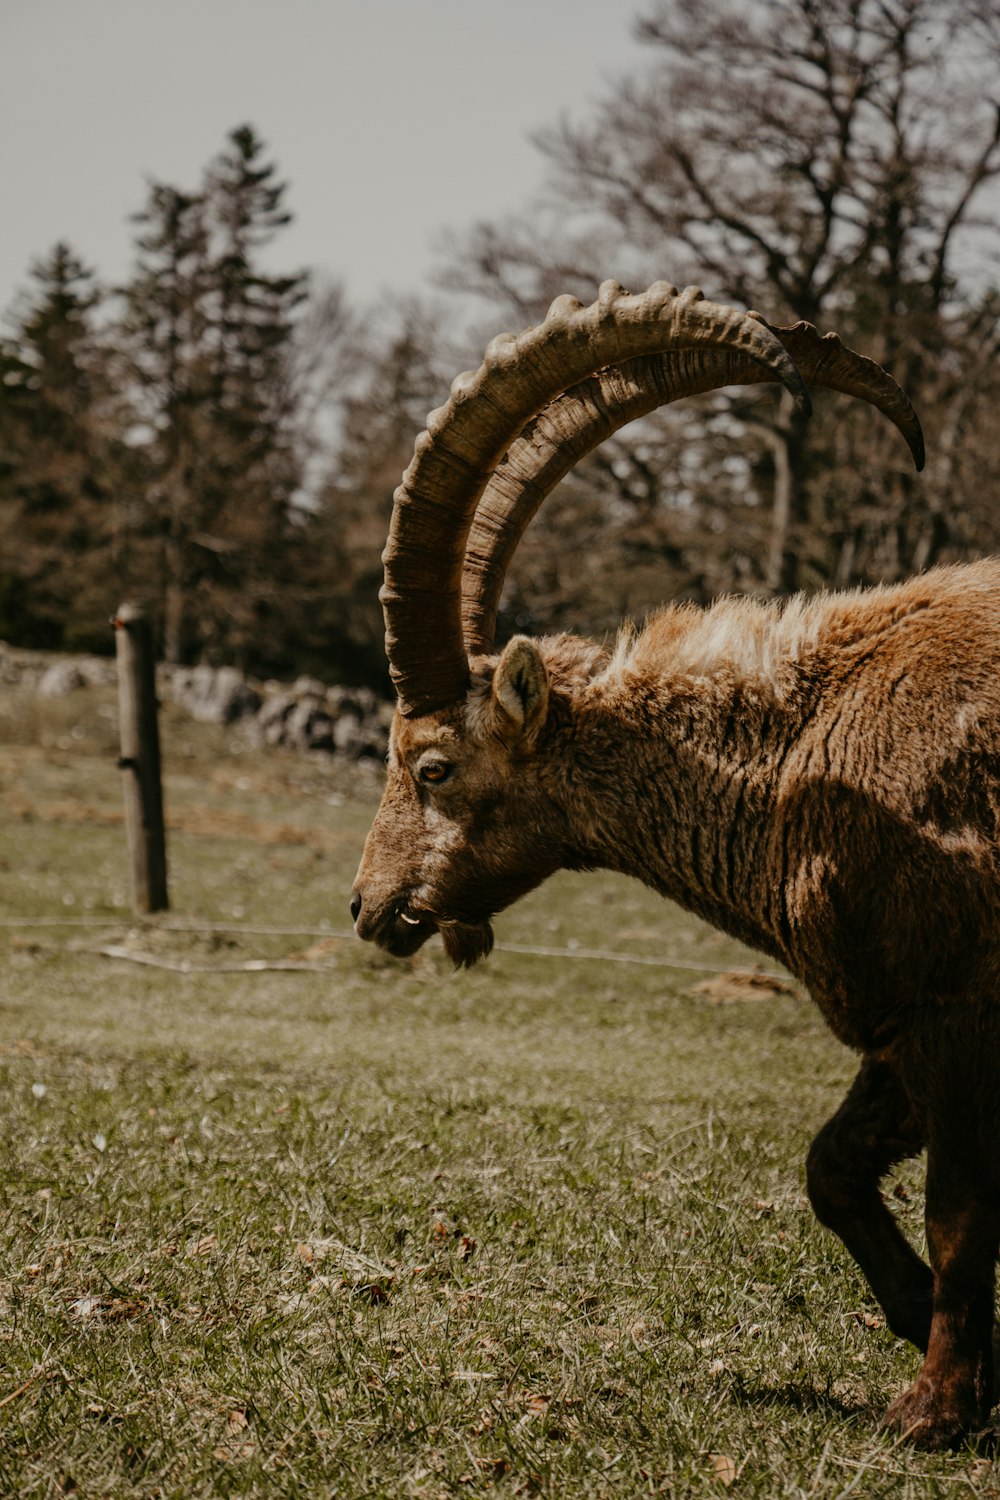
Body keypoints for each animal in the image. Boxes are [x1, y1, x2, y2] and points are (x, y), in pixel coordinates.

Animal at [352, 279, 1000, 1440]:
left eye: (430, 766)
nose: (367, 905)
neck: (804, 752)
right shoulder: (897, 1026)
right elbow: (830, 1167)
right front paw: (919, 1320)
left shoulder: (953, 1008)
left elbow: (961, 1215)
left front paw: (931, 1412)